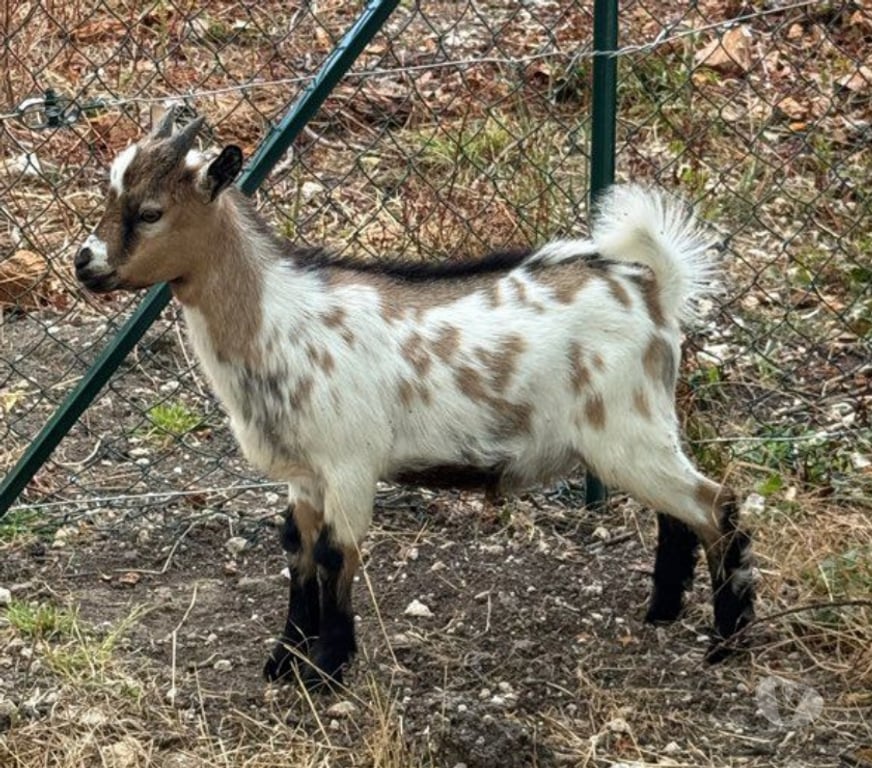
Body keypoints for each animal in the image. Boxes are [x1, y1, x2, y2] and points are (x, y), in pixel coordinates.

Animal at [75, 113, 755, 690]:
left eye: (152, 211)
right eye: (110, 197)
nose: (85, 263)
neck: (276, 316)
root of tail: (650, 288)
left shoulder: (350, 463)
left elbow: (334, 555)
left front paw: (328, 670)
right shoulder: (305, 473)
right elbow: (298, 552)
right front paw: (284, 660)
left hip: (626, 426)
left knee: (714, 503)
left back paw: (727, 640)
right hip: (635, 434)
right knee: (676, 512)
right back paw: (662, 612)